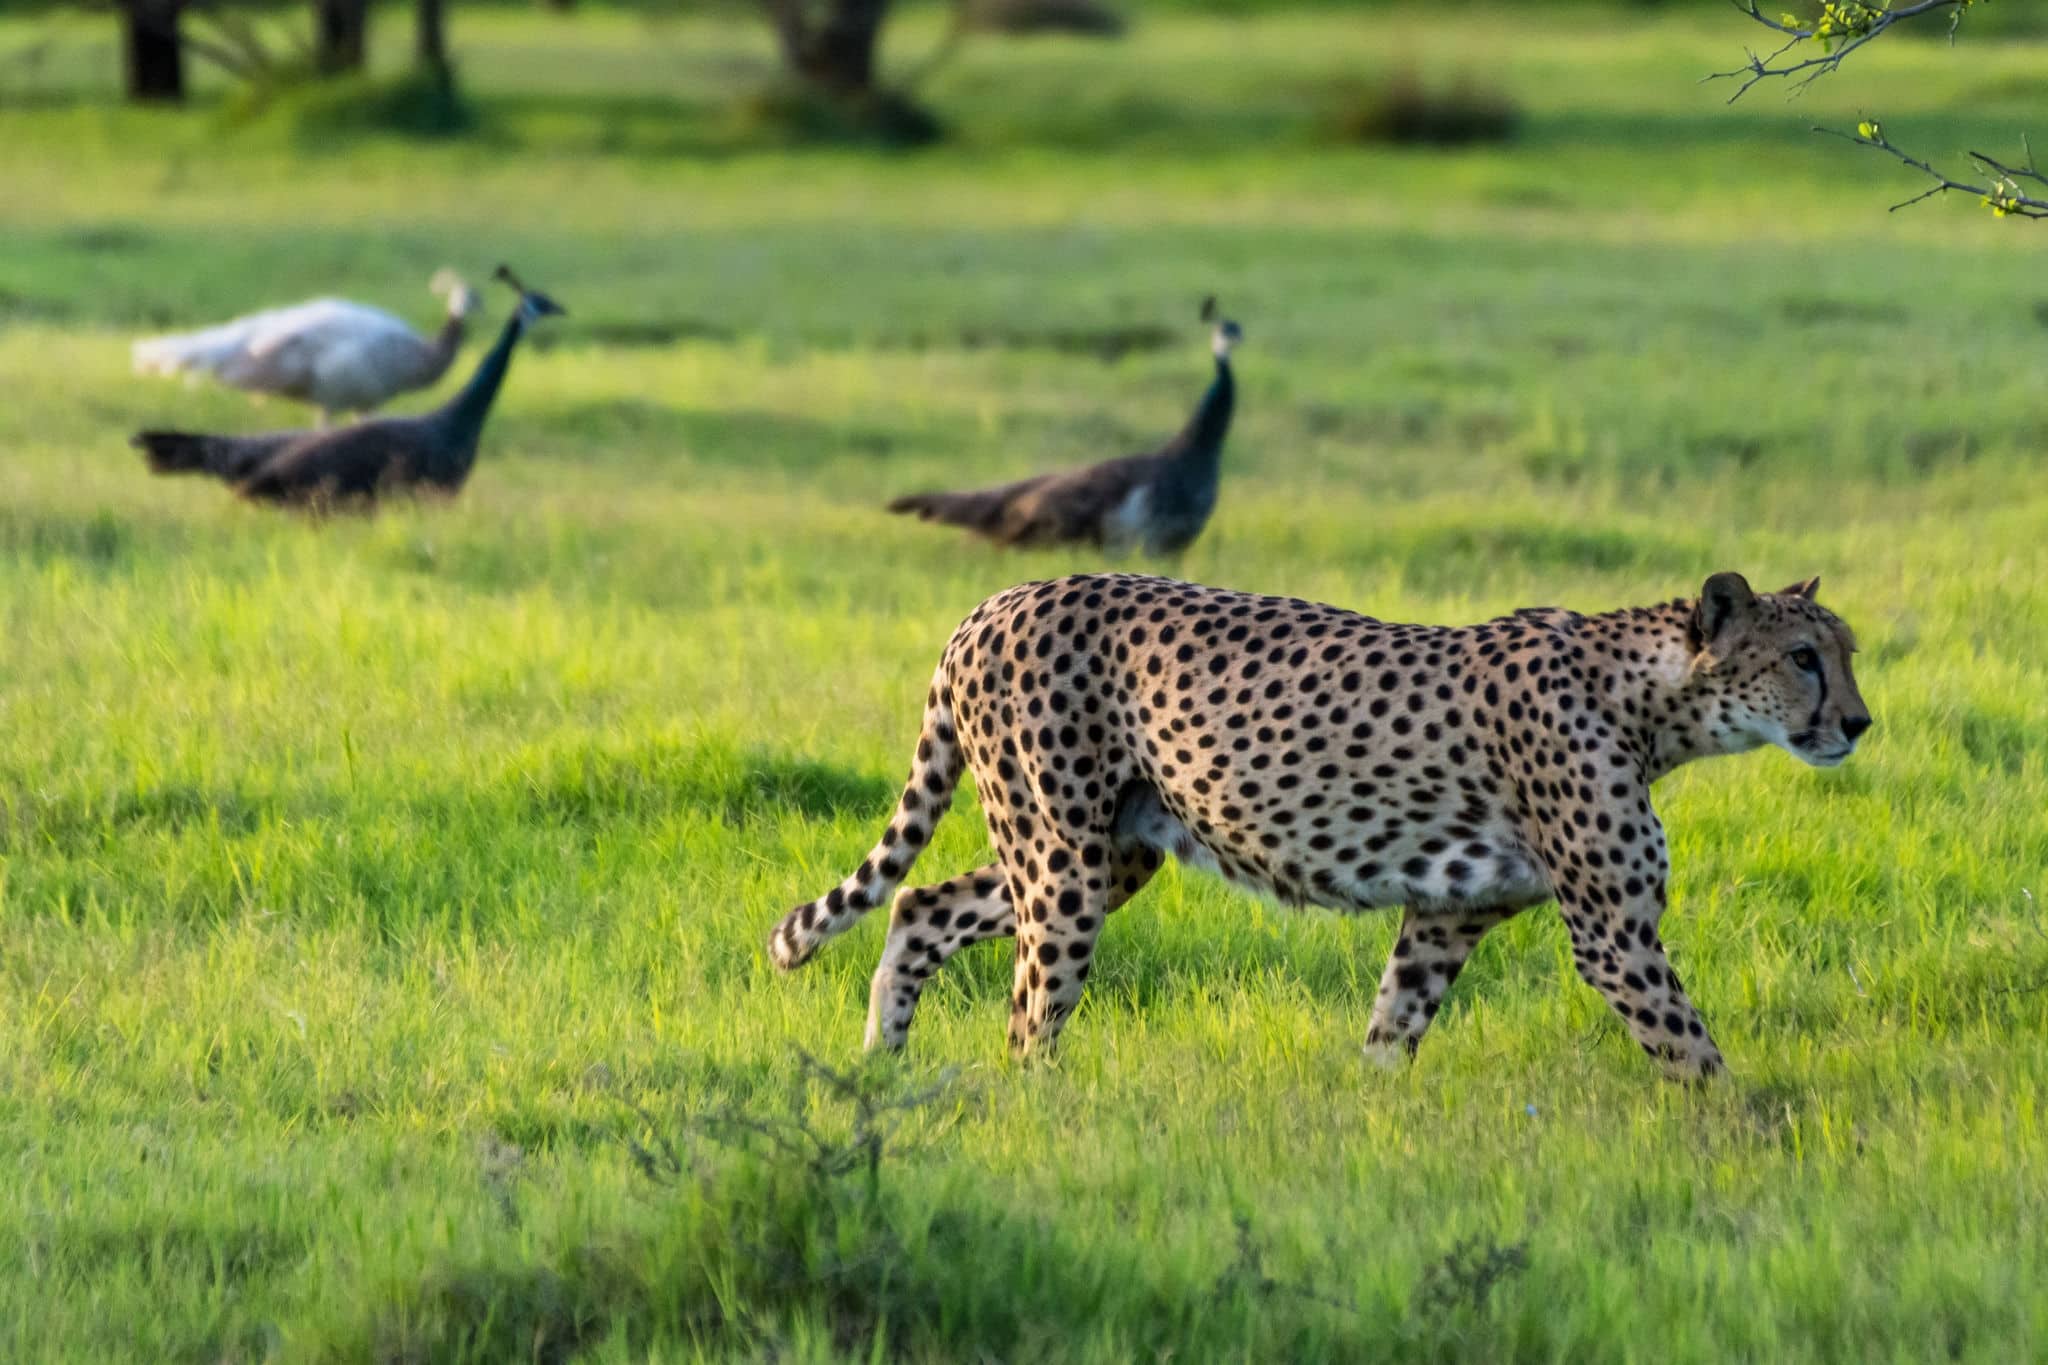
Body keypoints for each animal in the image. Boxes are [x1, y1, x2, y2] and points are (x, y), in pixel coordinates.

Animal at [767, 570, 1870, 1080]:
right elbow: (1696, 1055)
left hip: (1108, 853)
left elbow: (1391, 1029)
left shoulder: (1446, 916)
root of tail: (994, 600)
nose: (1859, 723)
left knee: (918, 903)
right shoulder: (1613, 933)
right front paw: (1754, 1144)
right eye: (1803, 657)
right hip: (1063, 859)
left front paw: (1372, 1122)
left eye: (1845, 652)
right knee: (1027, 1016)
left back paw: (882, 1064)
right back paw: (1027, 1106)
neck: (1649, 697)